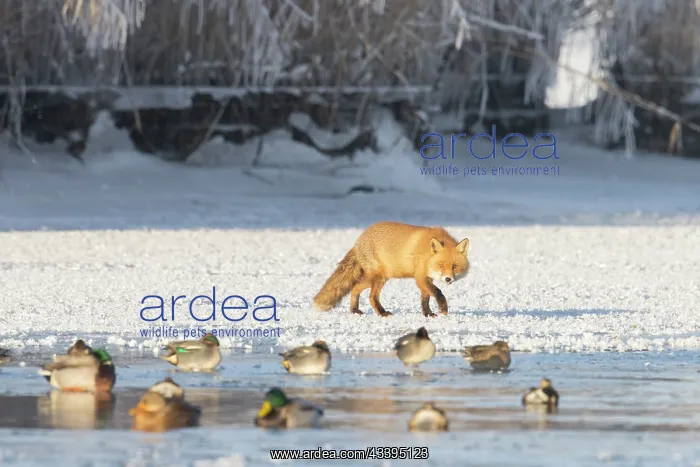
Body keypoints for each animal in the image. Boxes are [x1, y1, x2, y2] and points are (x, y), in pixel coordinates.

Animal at [312, 221, 470, 318]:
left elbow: (425, 298)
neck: (426, 254)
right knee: (371, 296)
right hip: (378, 277)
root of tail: (358, 241)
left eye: (455, 266)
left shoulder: (426, 278)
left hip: (377, 278)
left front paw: (427, 314)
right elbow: (437, 292)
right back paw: (381, 313)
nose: (448, 279)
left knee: (355, 288)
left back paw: (354, 310)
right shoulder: (420, 277)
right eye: (441, 265)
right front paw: (443, 308)